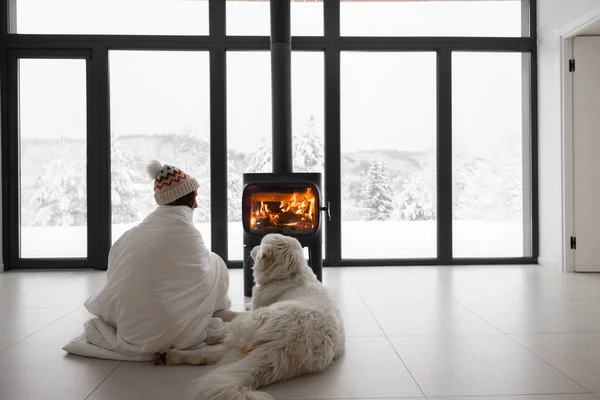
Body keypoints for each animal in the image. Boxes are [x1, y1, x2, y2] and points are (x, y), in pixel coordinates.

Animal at [152, 233, 344, 400]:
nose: (252, 249)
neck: (289, 275)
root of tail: (291, 342)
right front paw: (244, 304)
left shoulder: (255, 308)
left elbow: (233, 313)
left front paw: (221, 314)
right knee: (210, 356)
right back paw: (169, 356)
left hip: (250, 324)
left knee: (217, 340)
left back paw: (203, 336)